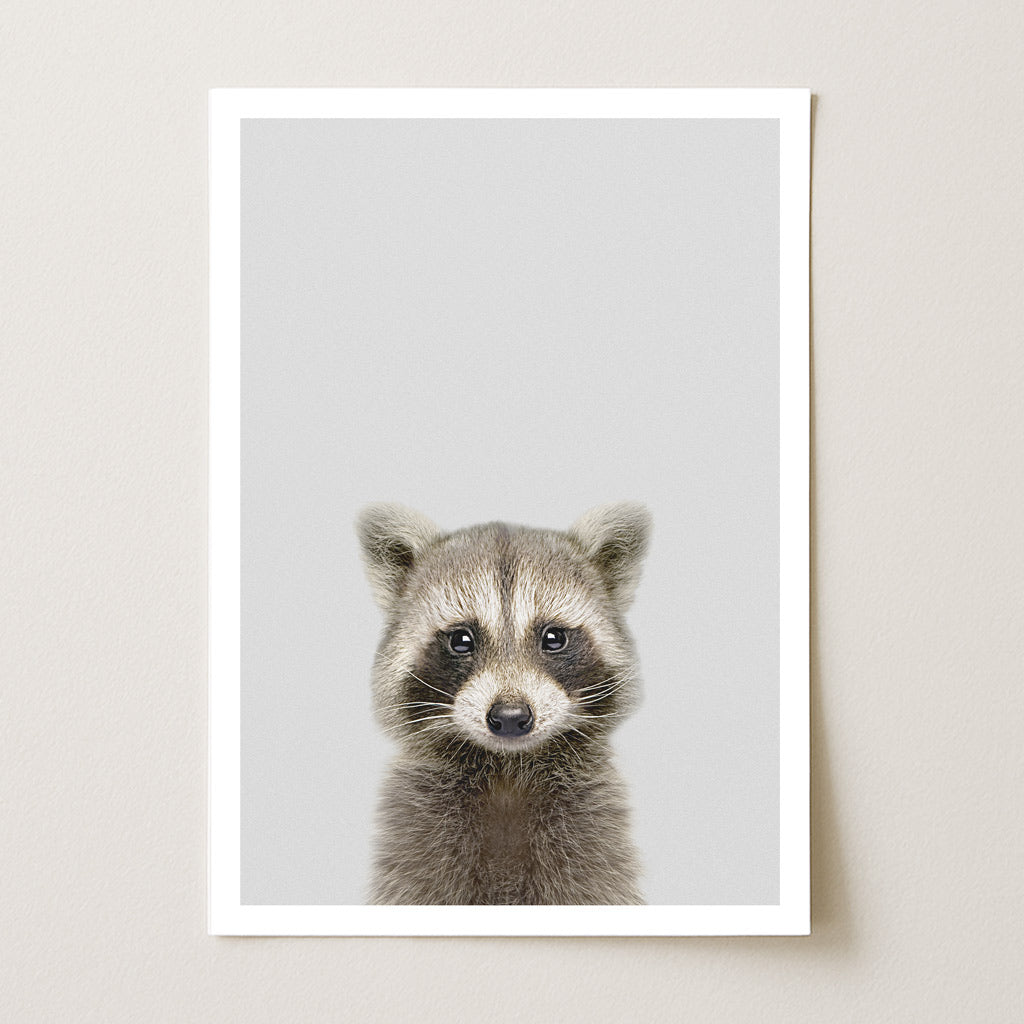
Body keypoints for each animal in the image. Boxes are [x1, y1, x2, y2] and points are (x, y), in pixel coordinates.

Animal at [356, 502, 651, 905]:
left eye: (554, 638)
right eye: (461, 640)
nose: (510, 717)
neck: (507, 771)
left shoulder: (591, 836)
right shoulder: (418, 838)